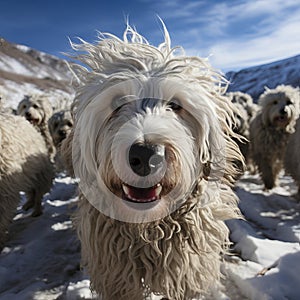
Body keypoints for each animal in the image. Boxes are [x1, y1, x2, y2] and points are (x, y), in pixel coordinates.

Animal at [0, 112, 54, 248]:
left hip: (40, 174)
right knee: (31, 191)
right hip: (26, 176)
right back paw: (28, 204)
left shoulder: (6, 191)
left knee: (38, 193)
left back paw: (36, 211)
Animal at [63, 23, 244, 300]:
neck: (148, 229)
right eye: (118, 104)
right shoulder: (118, 277)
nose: (145, 155)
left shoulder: (187, 271)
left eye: (175, 105)